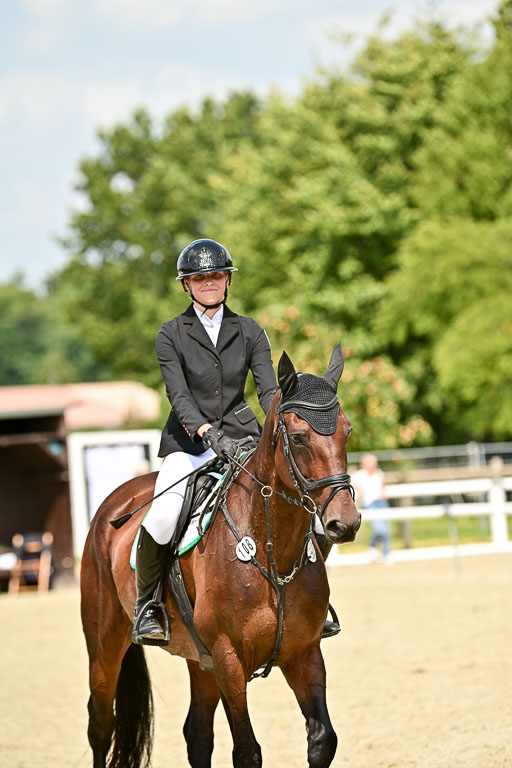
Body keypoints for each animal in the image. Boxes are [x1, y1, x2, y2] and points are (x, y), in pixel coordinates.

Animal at [80, 344, 361, 768]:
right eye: (298, 438)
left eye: (347, 432)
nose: (345, 523)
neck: (271, 551)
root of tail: (113, 503)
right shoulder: (229, 659)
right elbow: (247, 752)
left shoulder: (304, 653)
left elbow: (322, 740)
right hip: (105, 644)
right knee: (100, 725)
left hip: (201, 659)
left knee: (196, 734)